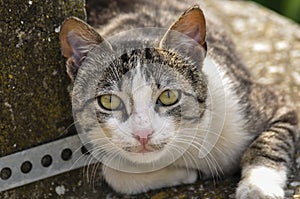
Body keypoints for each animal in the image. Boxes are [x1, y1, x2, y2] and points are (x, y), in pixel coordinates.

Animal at [59, 1, 298, 199]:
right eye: (109, 101)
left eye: (168, 96)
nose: (143, 134)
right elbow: (115, 174)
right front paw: (185, 174)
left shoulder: (268, 102)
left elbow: (270, 141)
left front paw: (258, 188)